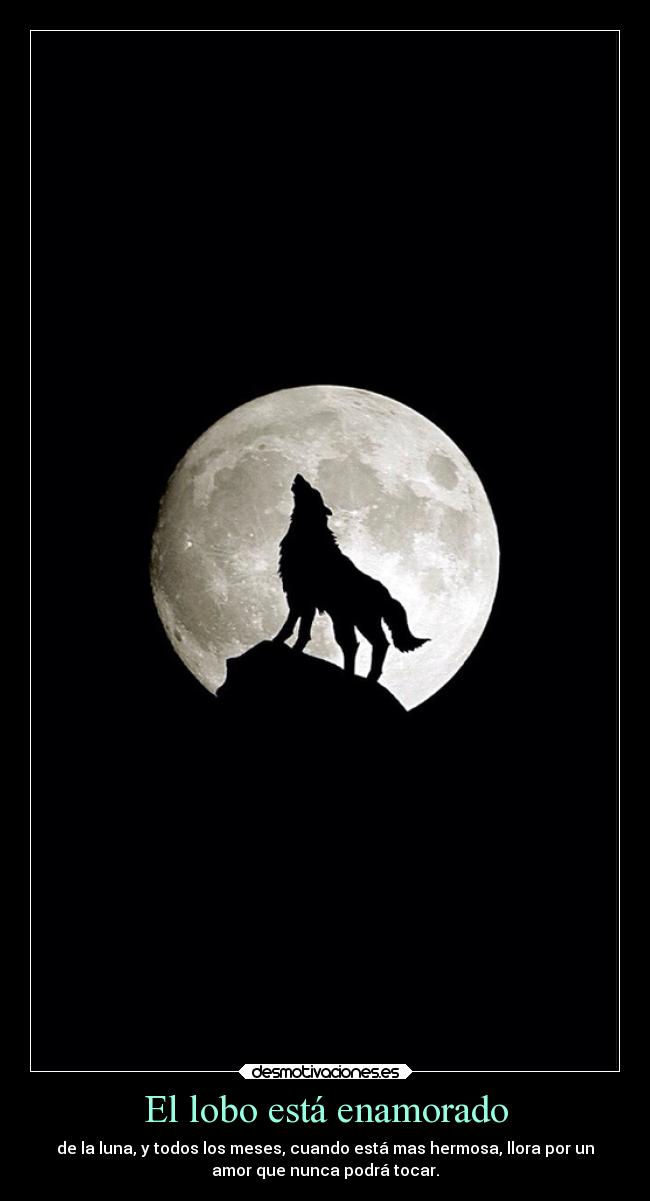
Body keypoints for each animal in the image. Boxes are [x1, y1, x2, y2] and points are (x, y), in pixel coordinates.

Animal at [274, 474, 429, 683]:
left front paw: (277, 642)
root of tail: (387, 595)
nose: (299, 476)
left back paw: (365, 677)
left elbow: (290, 626)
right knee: (358, 645)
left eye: (313, 491)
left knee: (372, 644)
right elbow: (303, 631)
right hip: (348, 621)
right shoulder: (307, 602)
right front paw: (295, 649)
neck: (310, 533)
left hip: (358, 621)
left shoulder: (299, 595)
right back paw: (361, 675)